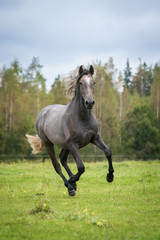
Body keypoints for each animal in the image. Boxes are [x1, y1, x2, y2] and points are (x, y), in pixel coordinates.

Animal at [26, 64, 114, 196]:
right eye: (81, 83)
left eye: (93, 82)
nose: (89, 102)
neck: (81, 118)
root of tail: (43, 112)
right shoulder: (73, 144)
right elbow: (81, 167)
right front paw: (72, 179)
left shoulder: (95, 138)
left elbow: (108, 152)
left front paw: (110, 176)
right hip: (49, 144)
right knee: (57, 165)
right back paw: (70, 187)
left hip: (65, 145)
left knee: (62, 159)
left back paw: (73, 184)